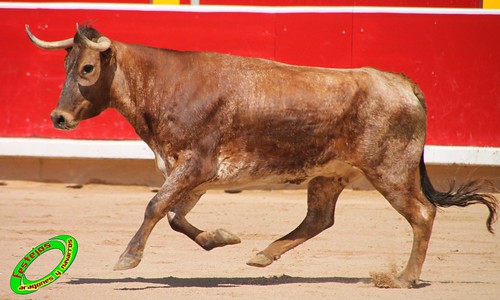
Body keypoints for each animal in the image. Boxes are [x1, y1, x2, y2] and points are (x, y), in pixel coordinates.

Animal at [26, 24, 496, 288]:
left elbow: (156, 206)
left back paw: (404, 278)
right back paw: (263, 255)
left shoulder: (193, 165)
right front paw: (222, 238)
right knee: (319, 218)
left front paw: (128, 258)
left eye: (87, 69)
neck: (163, 84)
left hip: (391, 170)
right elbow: (176, 216)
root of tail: (402, 83)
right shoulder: (196, 174)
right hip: (330, 174)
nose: (58, 117)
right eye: (65, 67)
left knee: (421, 213)